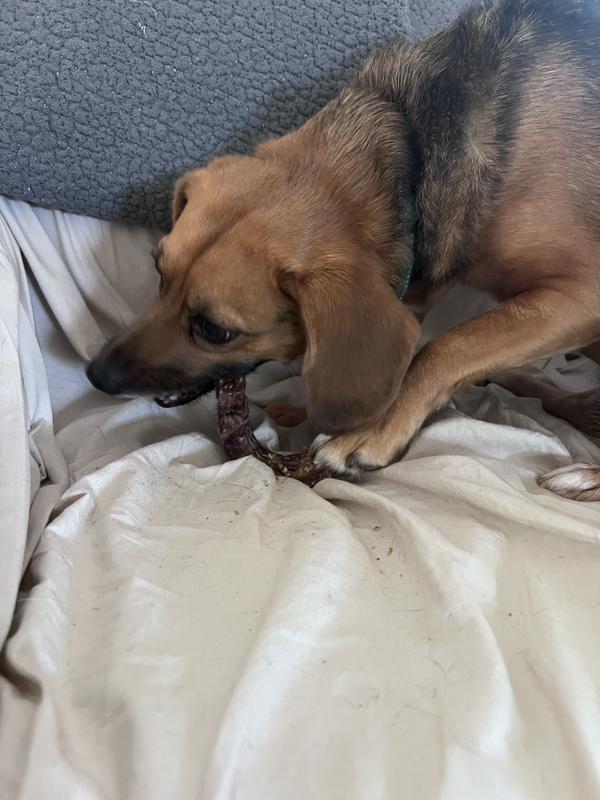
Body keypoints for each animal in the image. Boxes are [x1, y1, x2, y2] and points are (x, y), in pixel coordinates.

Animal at [87, 0, 600, 500]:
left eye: (214, 331)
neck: (413, 149)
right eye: (159, 273)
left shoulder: (581, 297)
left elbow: (444, 347)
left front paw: (372, 428)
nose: (95, 376)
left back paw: (584, 473)